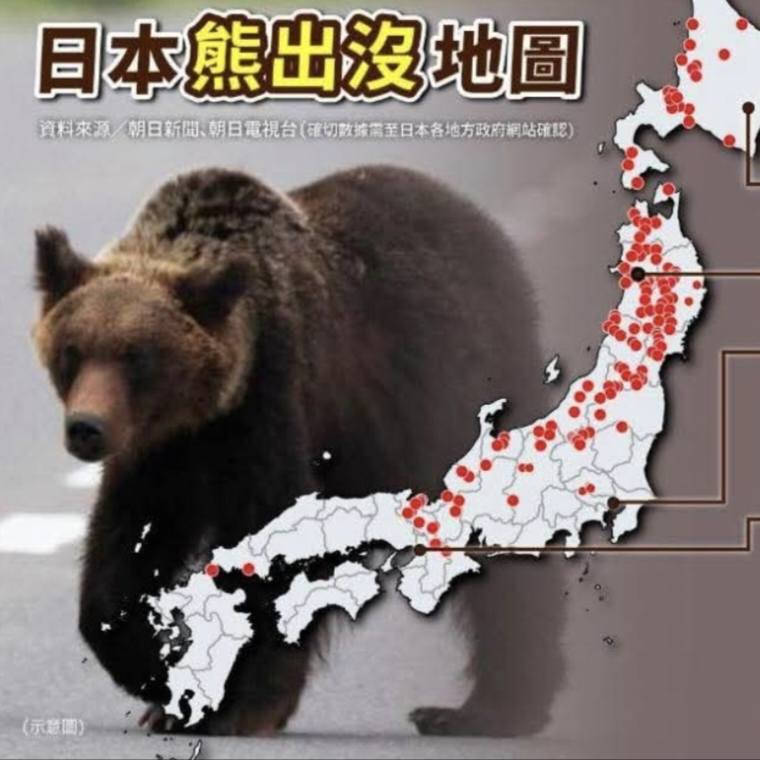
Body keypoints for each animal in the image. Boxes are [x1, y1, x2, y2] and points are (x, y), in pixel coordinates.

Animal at [33, 166, 567, 737]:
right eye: (73, 351)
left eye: (137, 357)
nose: (86, 428)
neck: (209, 410)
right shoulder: (161, 453)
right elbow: (122, 555)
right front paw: (160, 679)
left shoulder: (272, 404)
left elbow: (272, 548)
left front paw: (243, 704)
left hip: (456, 385)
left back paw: (488, 708)